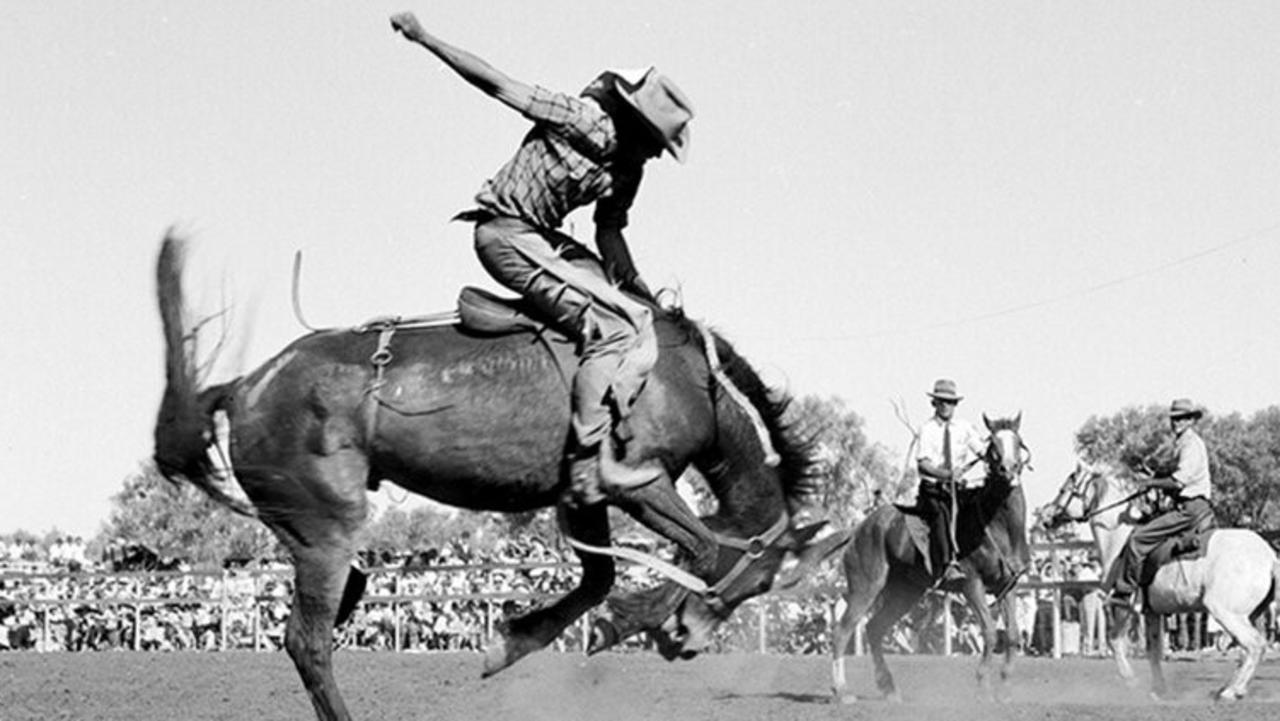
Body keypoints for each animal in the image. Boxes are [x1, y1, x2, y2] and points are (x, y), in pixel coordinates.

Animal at [152, 234, 829, 717]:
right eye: (759, 582)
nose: (684, 644)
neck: (683, 380)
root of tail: (244, 385)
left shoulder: (582, 494)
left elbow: (601, 576)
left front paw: (512, 643)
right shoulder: (636, 483)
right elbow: (699, 548)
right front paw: (621, 624)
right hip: (326, 529)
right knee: (307, 641)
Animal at [829, 417, 1029, 706]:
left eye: (1018, 441)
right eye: (993, 445)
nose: (1008, 470)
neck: (998, 526)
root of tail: (858, 529)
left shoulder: (1007, 586)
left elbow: (1011, 635)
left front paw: (1004, 690)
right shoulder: (972, 584)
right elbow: (991, 632)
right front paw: (982, 687)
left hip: (905, 592)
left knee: (874, 628)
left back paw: (889, 688)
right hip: (865, 588)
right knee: (842, 632)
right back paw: (842, 691)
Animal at [1039, 461, 1280, 701]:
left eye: (1064, 489)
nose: (1046, 516)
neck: (1118, 541)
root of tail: (1270, 556)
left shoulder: (1125, 606)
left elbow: (1115, 640)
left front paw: (1131, 680)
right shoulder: (1152, 612)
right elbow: (1153, 651)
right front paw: (1159, 689)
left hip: (1225, 612)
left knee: (1255, 645)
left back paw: (1231, 690)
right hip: (1247, 614)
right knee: (1248, 647)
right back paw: (1230, 686)